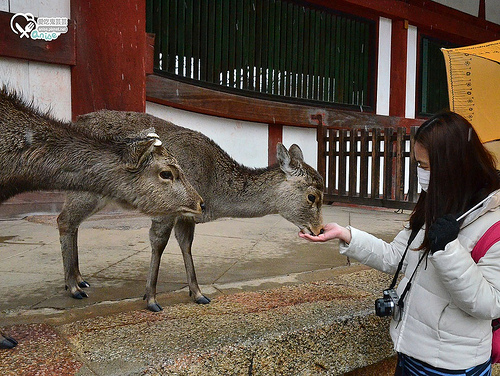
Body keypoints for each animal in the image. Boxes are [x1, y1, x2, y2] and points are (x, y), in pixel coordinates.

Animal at [0, 89, 203, 350]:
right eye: (166, 173)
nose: (200, 203)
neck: (13, 170)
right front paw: (4, 337)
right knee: (65, 219)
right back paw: (73, 284)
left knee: (67, 220)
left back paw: (77, 281)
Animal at [57, 111, 324, 312]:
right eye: (312, 197)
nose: (320, 229)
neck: (212, 189)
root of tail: (75, 121)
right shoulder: (167, 208)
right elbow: (158, 244)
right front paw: (151, 299)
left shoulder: (188, 214)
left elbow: (186, 245)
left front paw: (198, 294)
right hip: (85, 189)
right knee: (64, 220)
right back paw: (73, 287)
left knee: (73, 223)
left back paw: (79, 279)